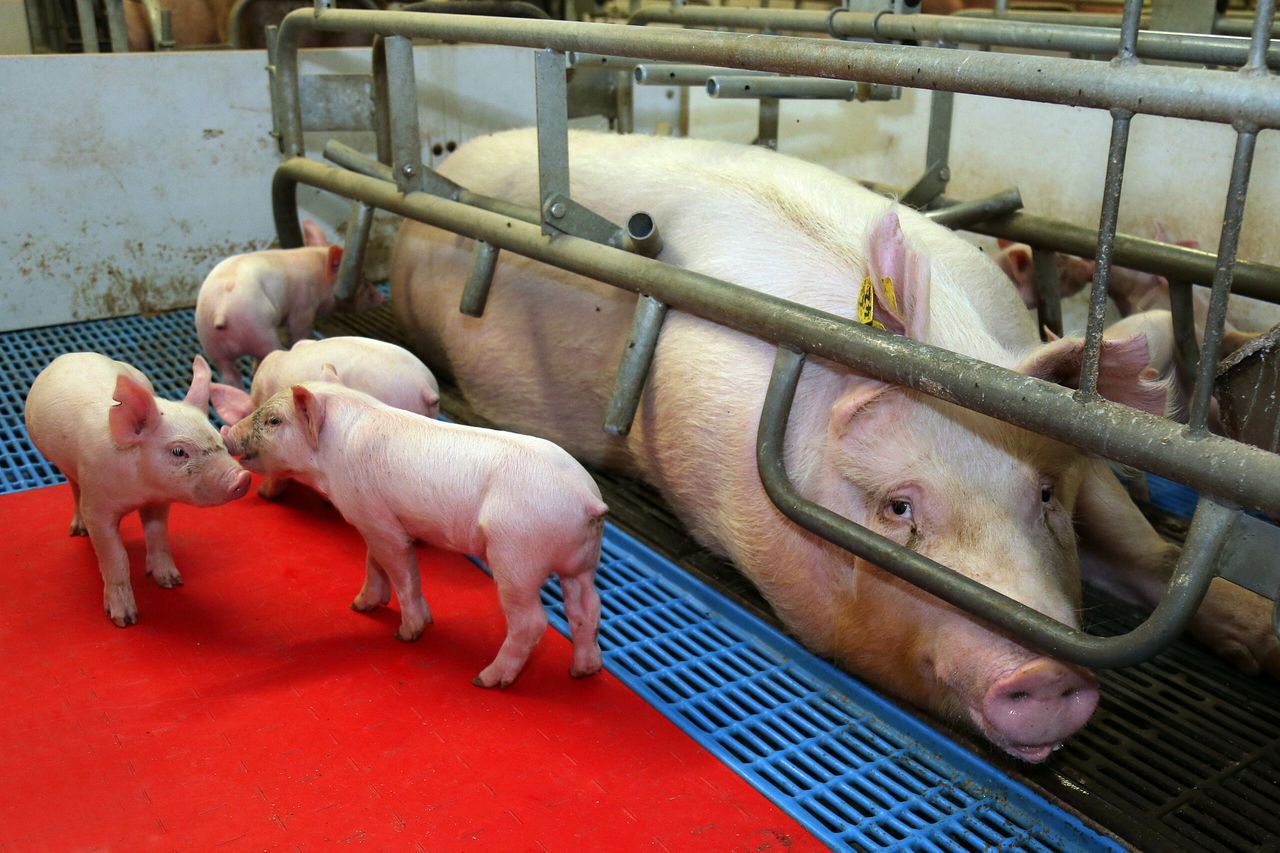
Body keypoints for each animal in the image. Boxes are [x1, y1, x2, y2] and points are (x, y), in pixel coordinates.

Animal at [24, 353, 251, 626]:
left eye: (218, 438)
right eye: (178, 451)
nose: (243, 477)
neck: (139, 491)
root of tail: (69, 355)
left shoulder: (159, 501)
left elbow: (158, 536)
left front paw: (172, 582)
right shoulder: (97, 508)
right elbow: (116, 556)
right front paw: (125, 620)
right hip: (64, 467)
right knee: (74, 489)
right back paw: (78, 532)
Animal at [195, 219, 386, 389]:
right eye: (362, 279)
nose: (382, 297)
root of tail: (221, 310)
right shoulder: (303, 307)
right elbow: (299, 330)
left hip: (211, 343)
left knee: (229, 374)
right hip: (260, 331)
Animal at [223, 381, 606, 688]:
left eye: (275, 421)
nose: (226, 431)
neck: (330, 457)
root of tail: (587, 499)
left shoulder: (383, 525)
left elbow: (403, 573)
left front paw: (407, 633)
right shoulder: (373, 519)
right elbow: (373, 561)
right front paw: (360, 605)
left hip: (517, 557)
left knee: (532, 622)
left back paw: (486, 680)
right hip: (580, 564)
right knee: (587, 608)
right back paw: (584, 672)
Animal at [389, 129, 1280, 760]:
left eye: (1042, 494)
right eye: (898, 506)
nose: (1047, 674)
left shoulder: (1082, 458)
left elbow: (1151, 555)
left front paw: (1265, 639)